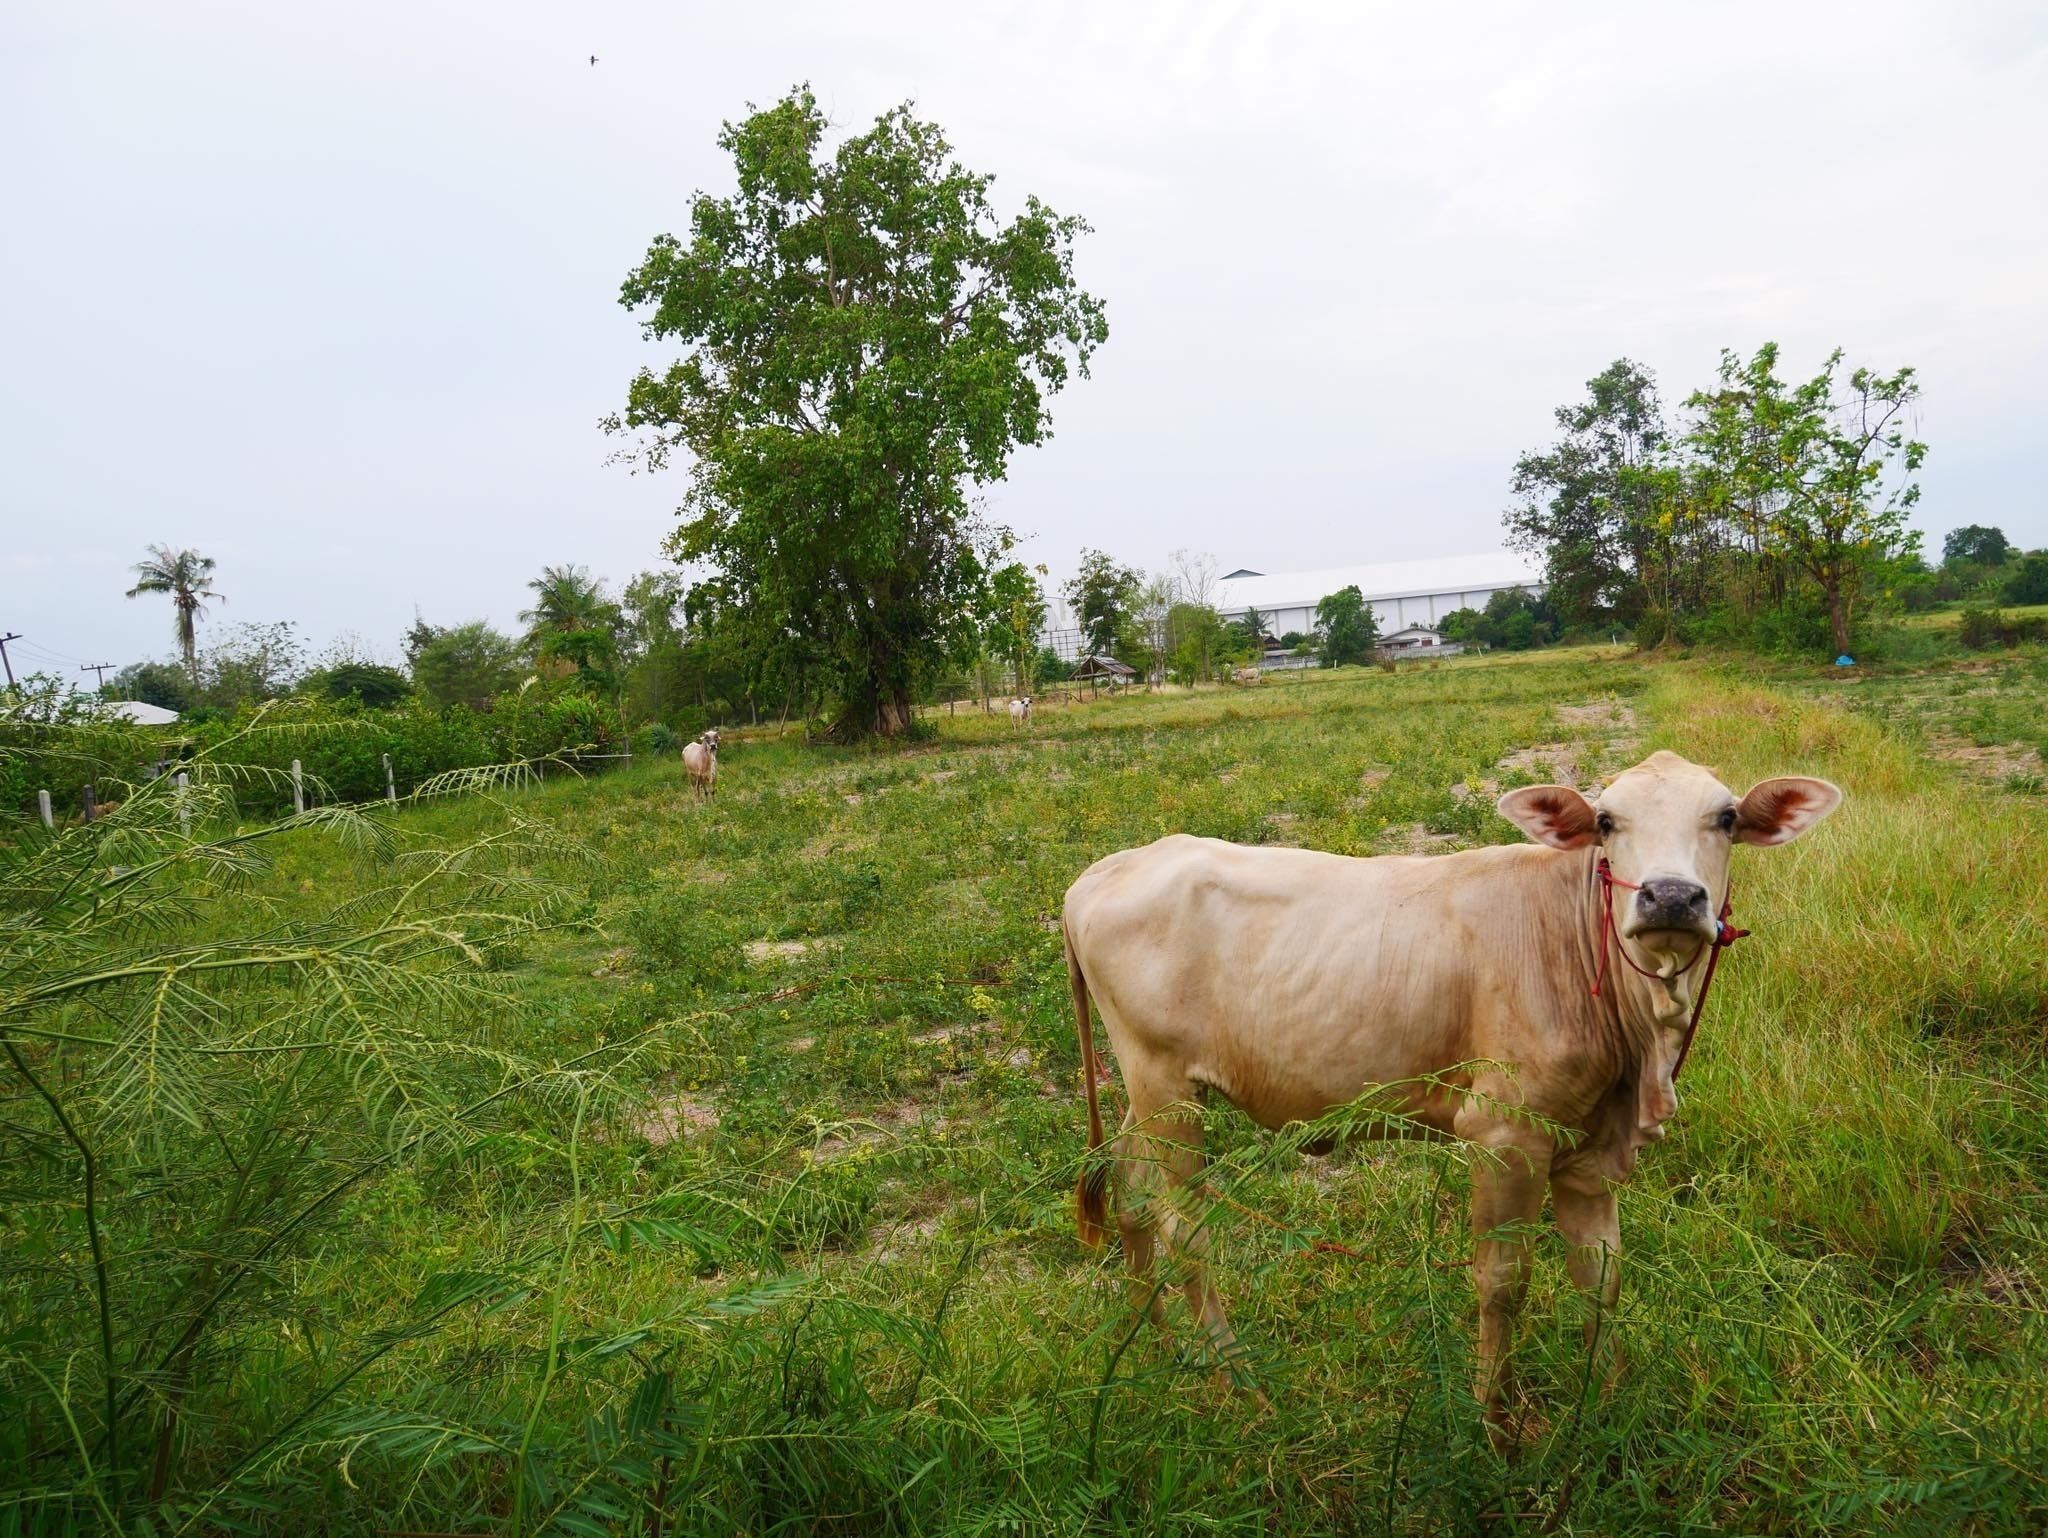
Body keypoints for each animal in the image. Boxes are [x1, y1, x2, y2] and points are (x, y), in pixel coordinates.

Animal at [1061, 749, 1841, 1444]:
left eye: (1727, 816)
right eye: (1607, 821)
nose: (1672, 896)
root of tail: (1105, 870)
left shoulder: (1591, 1147)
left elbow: (1602, 1275)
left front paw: (1609, 1403)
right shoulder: (1504, 1134)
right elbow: (1503, 1282)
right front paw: (1493, 1427)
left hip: (1148, 1090)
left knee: (1131, 1197)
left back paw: (1155, 1345)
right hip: (1165, 1089)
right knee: (1184, 1227)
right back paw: (1240, 1383)